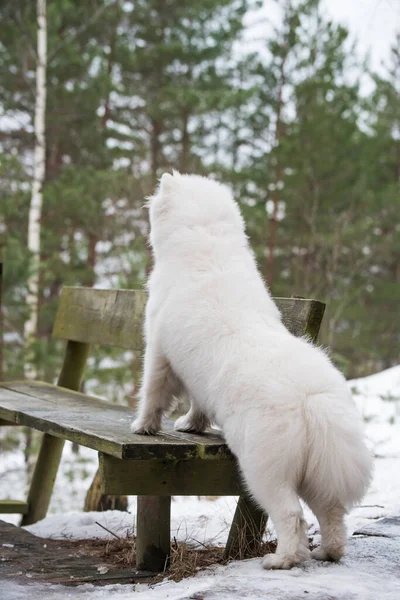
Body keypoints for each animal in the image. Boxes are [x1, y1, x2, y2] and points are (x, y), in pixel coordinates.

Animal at [131, 171, 372, 568]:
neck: (206, 240)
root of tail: (311, 399)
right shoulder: (198, 378)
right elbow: (198, 404)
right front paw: (191, 425)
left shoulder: (159, 350)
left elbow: (152, 392)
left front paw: (143, 427)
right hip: (319, 468)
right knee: (332, 514)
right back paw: (326, 552)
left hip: (264, 466)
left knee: (291, 514)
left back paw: (281, 560)